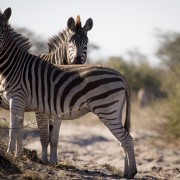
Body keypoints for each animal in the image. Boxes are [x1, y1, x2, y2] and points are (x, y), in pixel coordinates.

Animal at [0, 7, 136, 178]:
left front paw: (22, 156)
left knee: (127, 138)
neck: (15, 65)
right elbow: (26, 130)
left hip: (107, 109)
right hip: (115, 111)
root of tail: (121, 75)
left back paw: (131, 172)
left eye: (87, 42)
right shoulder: (38, 105)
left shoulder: (21, 100)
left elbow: (28, 131)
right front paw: (21, 155)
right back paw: (126, 172)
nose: (77, 61)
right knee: (123, 139)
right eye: (70, 41)